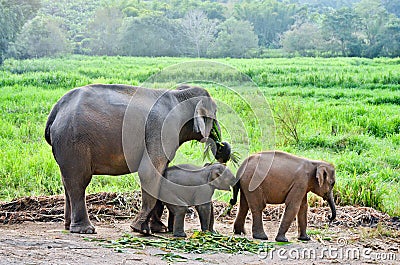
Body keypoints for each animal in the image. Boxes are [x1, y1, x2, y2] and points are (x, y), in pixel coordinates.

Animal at [45, 83, 230, 233]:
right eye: (215, 113)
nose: (224, 148)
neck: (179, 94)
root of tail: (56, 110)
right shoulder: (161, 129)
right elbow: (150, 172)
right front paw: (141, 229)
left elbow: (162, 174)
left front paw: (159, 229)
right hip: (74, 141)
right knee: (79, 181)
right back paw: (86, 230)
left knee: (67, 181)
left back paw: (68, 226)